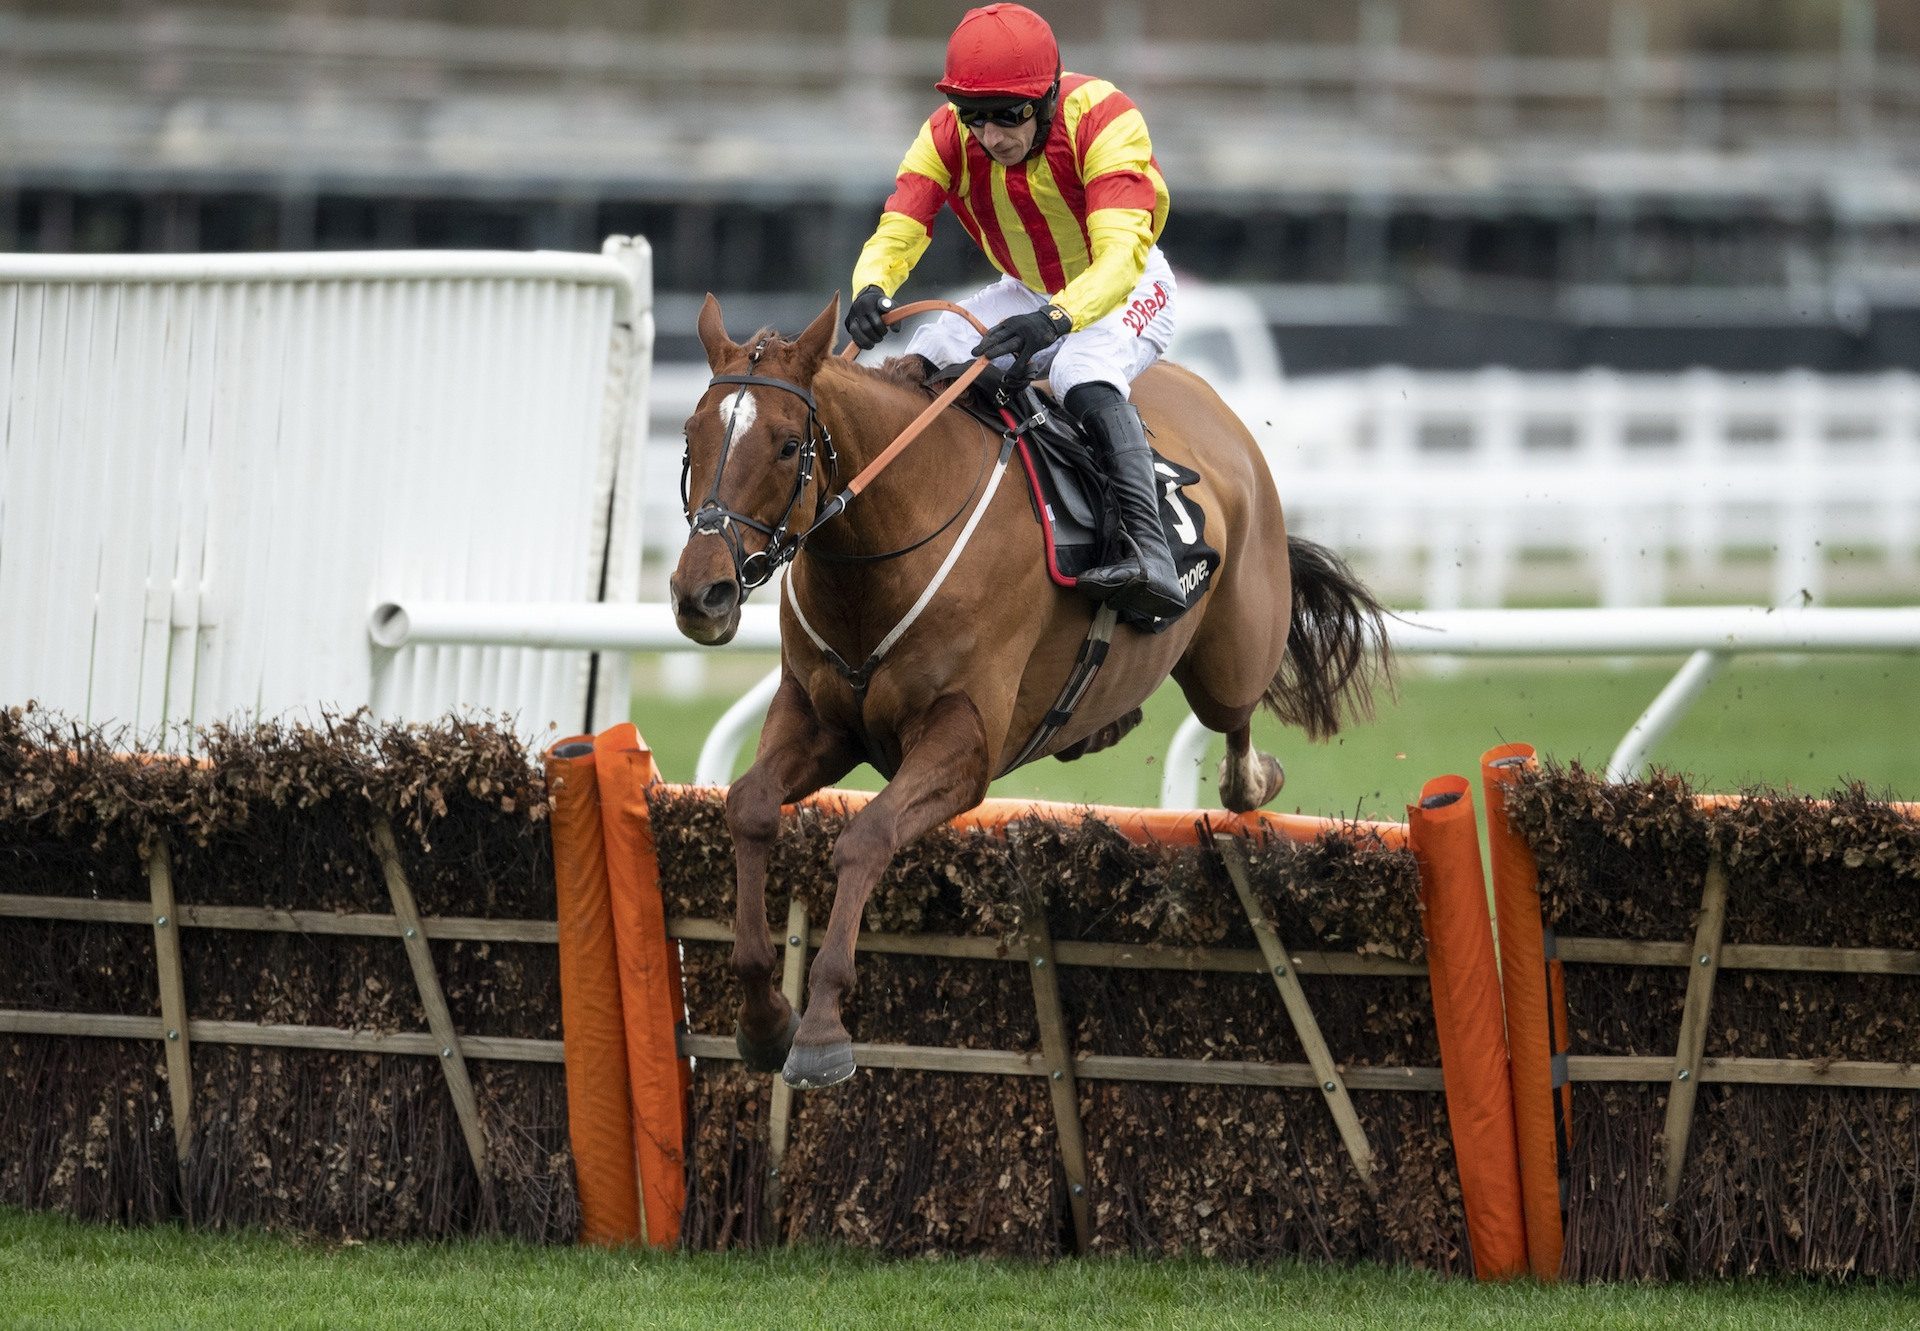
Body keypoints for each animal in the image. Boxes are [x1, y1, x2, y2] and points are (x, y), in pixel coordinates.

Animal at [668, 293, 1390, 1090]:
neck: (887, 541)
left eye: (788, 446)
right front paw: (765, 1016)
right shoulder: (819, 717)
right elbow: (749, 807)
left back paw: (1250, 778)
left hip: (1232, 657)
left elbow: (867, 836)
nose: (701, 593)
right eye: (691, 436)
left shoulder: (965, 744)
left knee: (1234, 719)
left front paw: (822, 1028)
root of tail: (1218, 411)